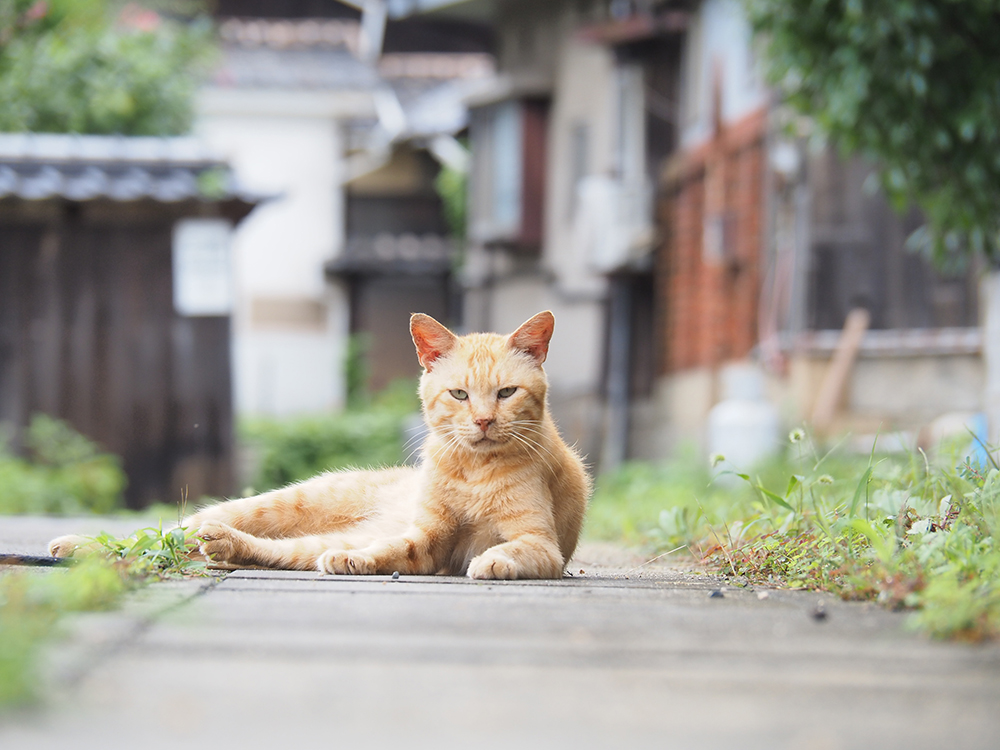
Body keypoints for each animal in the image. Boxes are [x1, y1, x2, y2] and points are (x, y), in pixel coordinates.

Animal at [47, 312, 588, 580]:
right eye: (459, 394)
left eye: (506, 393)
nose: (483, 420)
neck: (472, 469)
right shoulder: (428, 536)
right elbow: (395, 546)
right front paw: (363, 560)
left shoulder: (535, 544)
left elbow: (510, 549)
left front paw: (493, 560)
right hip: (274, 503)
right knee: (161, 536)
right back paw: (75, 545)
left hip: (304, 539)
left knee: (258, 551)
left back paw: (226, 547)